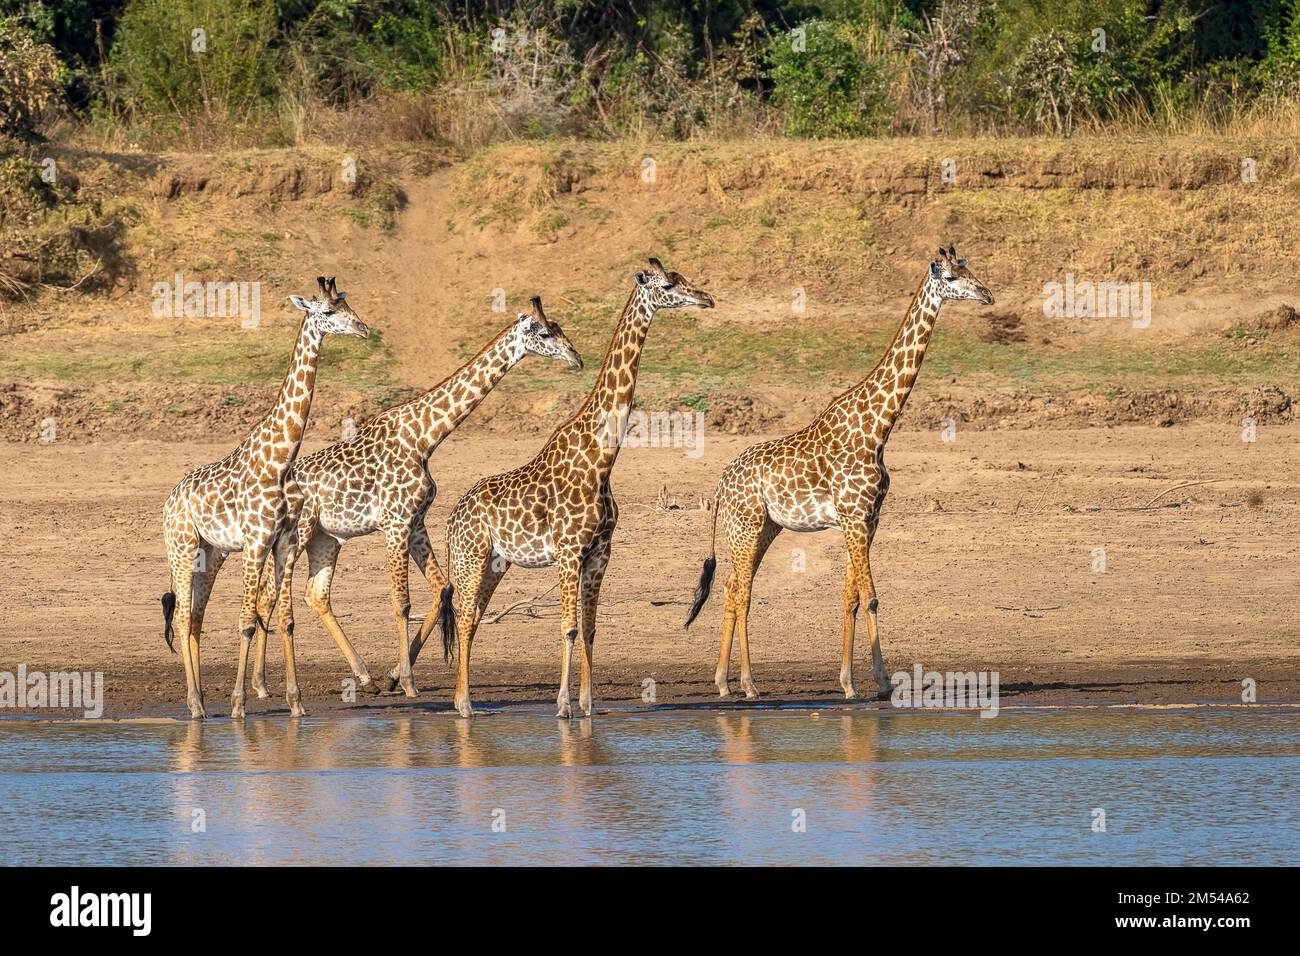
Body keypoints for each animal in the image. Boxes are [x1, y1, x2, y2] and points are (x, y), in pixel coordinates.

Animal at [161, 277, 371, 717]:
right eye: (327, 312)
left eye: (348, 306)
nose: (363, 329)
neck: (280, 460)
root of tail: (169, 501)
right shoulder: (256, 542)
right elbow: (245, 619)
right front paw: (239, 704)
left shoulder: (285, 541)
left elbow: (286, 618)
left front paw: (296, 703)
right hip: (181, 547)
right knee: (184, 616)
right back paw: (196, 705)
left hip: (211, 553)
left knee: (196, 618)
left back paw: (200, 698)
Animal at [245, 295, 582, 697]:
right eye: (544, 333)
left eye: (560, 328)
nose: (577, 358)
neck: (425, 437)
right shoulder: (395, 523)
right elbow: (401, 602)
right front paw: (407, 682)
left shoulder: (416, 522)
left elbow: (442, 588)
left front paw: (393, 675)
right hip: (299, 534)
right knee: (269, 594)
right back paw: (262, 684)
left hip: (326, 538)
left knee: (314, 593)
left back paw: (362, 677)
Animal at [441, 256, 717, 717]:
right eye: (667, 285)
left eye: (682, 279)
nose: (707, 298)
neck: (601, 459)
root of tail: (450, 520)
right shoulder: (569, 551)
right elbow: (568, 628)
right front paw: (563, 706)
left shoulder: (600, 552)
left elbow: (589, 629)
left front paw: (588, 704)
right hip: (470, 556)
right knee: (463, 616)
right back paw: (463, 704)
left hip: (497, 563)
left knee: (474, 618)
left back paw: (466, 700)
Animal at [686, 243, 987, 697]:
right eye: (952, 278)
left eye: (971, 271)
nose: (987, 293)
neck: (878, 428)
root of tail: (721, 484)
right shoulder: (855, 517)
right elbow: (872, 596)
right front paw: (883, 683)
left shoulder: (866, 519)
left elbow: (851, 597)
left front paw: (848, 682)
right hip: (746, 527)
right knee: (740, 592)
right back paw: (748, 684)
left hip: (765, 528)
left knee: (732, 588)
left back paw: (724, 682)